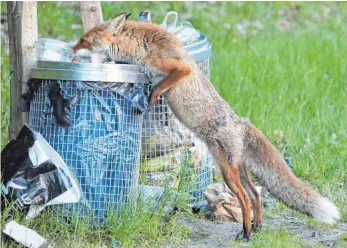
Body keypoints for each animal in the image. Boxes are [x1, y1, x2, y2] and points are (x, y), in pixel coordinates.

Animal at [72, 13, 342, 240]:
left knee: (244, 198)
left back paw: (246, 233)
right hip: (238, 169)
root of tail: (240, 121)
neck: (142, 45)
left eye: (83, 39)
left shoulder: (179, 68)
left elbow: (159, 87)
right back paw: (257, 227)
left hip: (227, 171)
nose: (71, 50)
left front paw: (151, 99)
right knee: (255, 193)